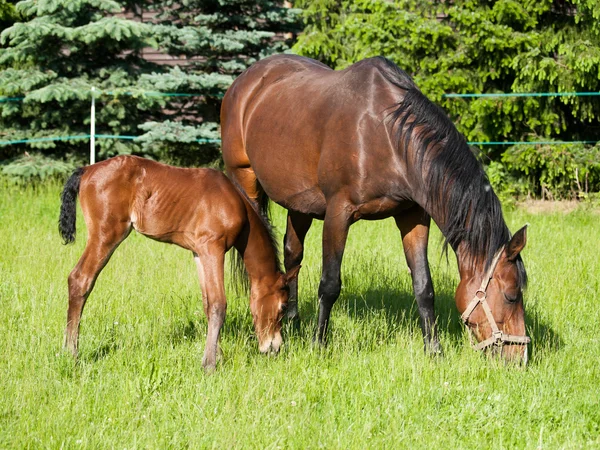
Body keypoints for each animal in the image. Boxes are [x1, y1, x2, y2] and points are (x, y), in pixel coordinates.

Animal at [58, 155, 298, 370]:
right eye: (283, 306)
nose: (274, 347)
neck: (235, 203)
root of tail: (86, 170)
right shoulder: (213, 248)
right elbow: (219, 304)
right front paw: (210, 364)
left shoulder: (199, 253)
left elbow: (208, 303)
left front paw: (216, 355)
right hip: (106, 235)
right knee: (80, 280)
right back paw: (72, 353)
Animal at [220, 53, 528, 362]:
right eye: (511, 295)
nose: (520, 358)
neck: (386, 136)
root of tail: (243, 81)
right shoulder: (338, 213)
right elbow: (329, 284)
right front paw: (318, 345)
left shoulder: (412, 216)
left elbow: (424, 285)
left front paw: (434, 349)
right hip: (245, 180)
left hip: (299, 202)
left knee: (292, 252)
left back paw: (293, 320)